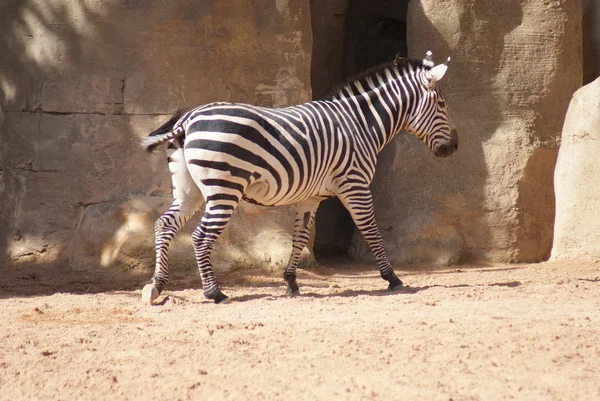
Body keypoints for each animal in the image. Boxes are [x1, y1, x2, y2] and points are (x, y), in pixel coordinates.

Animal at [142, 52, 460, 304]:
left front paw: (292, 283)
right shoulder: (355, 184)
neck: (361, 124)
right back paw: (214, 292)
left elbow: (300, 237)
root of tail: (188, 119)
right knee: (200, 236)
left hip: (190, 190)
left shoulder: (310, 197)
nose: (455, 147)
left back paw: (156, 286)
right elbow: (371, 230)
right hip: (224, 190)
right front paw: (392, 278)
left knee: (164, 225)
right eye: (442, 104)